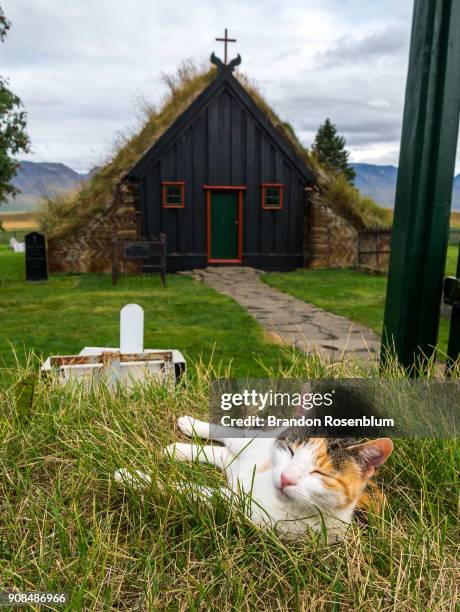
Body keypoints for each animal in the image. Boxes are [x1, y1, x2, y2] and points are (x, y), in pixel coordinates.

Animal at [114, 416, 392, 540]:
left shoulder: (237, 504)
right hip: (253, 441)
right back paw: (188, 431)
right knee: (231, 436)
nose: (286, 477)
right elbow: (228, 432)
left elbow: (188, 489)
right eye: (291, 451)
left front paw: (131, 476)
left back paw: (177, 451)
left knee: (222, 453)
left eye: (320, 473)